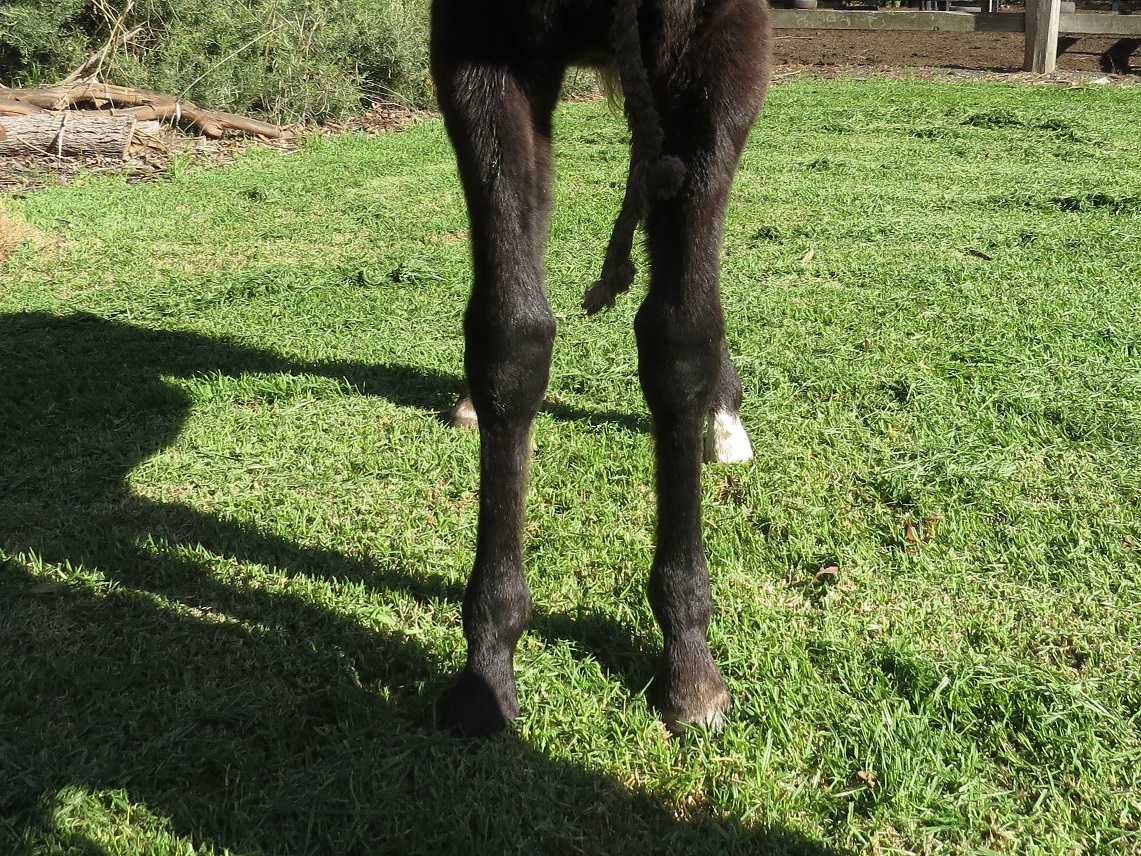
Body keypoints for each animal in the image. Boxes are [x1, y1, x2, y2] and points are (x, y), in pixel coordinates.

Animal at [432, 0, 771, 736]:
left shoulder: (720, 45)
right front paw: (488, 665)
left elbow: (681, 338)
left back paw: (724, 417)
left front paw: (689, 661)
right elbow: (511, 337)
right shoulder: (480, 42)